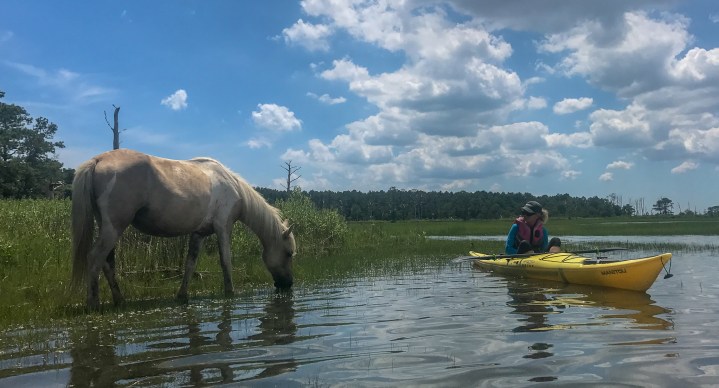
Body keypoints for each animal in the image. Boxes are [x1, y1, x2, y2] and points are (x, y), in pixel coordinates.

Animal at [70, 149, 296, 310]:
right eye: (289, 253)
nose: (288, 284)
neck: (234, 187)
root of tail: (98, 159)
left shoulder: (199, 233)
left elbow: (190, 264)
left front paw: (182, 295)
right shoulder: (223, 227)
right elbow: (226, 261)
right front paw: (230, 292)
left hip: (107, 226)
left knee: (107, 262)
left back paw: (119, 300)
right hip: (114, 227)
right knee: (95, 258)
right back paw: (93, 303)